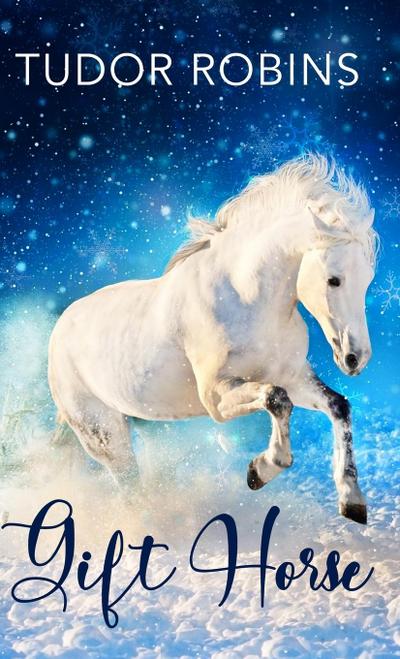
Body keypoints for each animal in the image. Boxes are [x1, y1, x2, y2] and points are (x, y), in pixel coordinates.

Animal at [48, 154, 378, 525]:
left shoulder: (291, 376)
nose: (355, 358)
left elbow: (338, 406)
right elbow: (277, 399)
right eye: (334, 280)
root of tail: (60, 329)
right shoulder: (215, 396)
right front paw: (260, 470)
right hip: (102, 433)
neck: (246, 298)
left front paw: (352, 500)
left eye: (368, 280)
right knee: (130, 488)